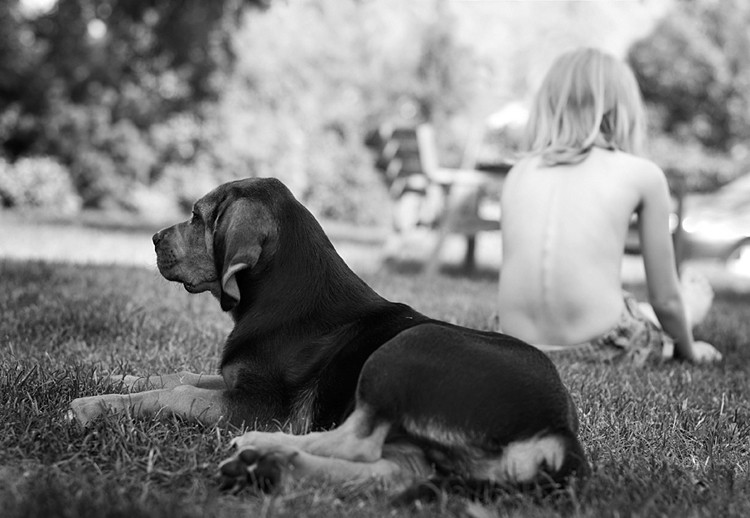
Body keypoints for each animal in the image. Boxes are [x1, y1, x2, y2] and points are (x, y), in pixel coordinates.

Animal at [67, 179, 592, 504]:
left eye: (197, 217)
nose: (154, 238)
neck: (282, 293)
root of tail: (559, 433)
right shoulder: (236, 379)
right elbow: (180, 375)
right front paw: (113, 374)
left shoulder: (256, 403)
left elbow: (176, 393)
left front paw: (96, 404)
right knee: (390, 471)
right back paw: (267, 467)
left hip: (404, 352)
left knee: (354, 443)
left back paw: (261, 450)